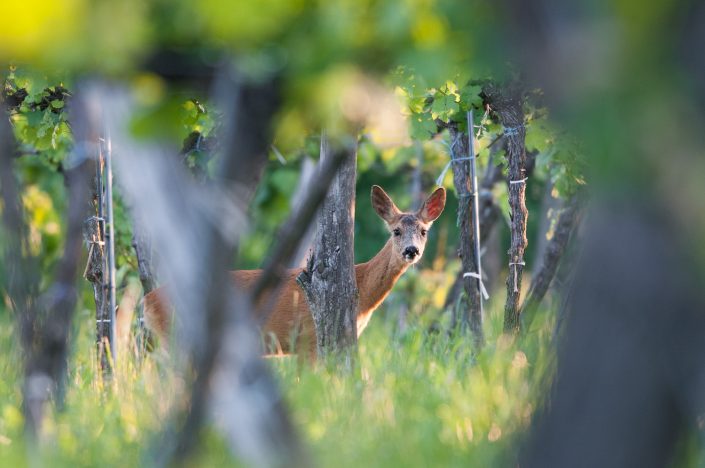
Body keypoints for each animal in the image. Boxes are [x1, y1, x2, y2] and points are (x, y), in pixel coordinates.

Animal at [143, 185, 446, 356]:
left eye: (424, 231)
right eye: (396, 231)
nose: (411, 251)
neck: (361, 294)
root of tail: (146, 300)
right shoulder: (307, 338)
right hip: (175, 339)